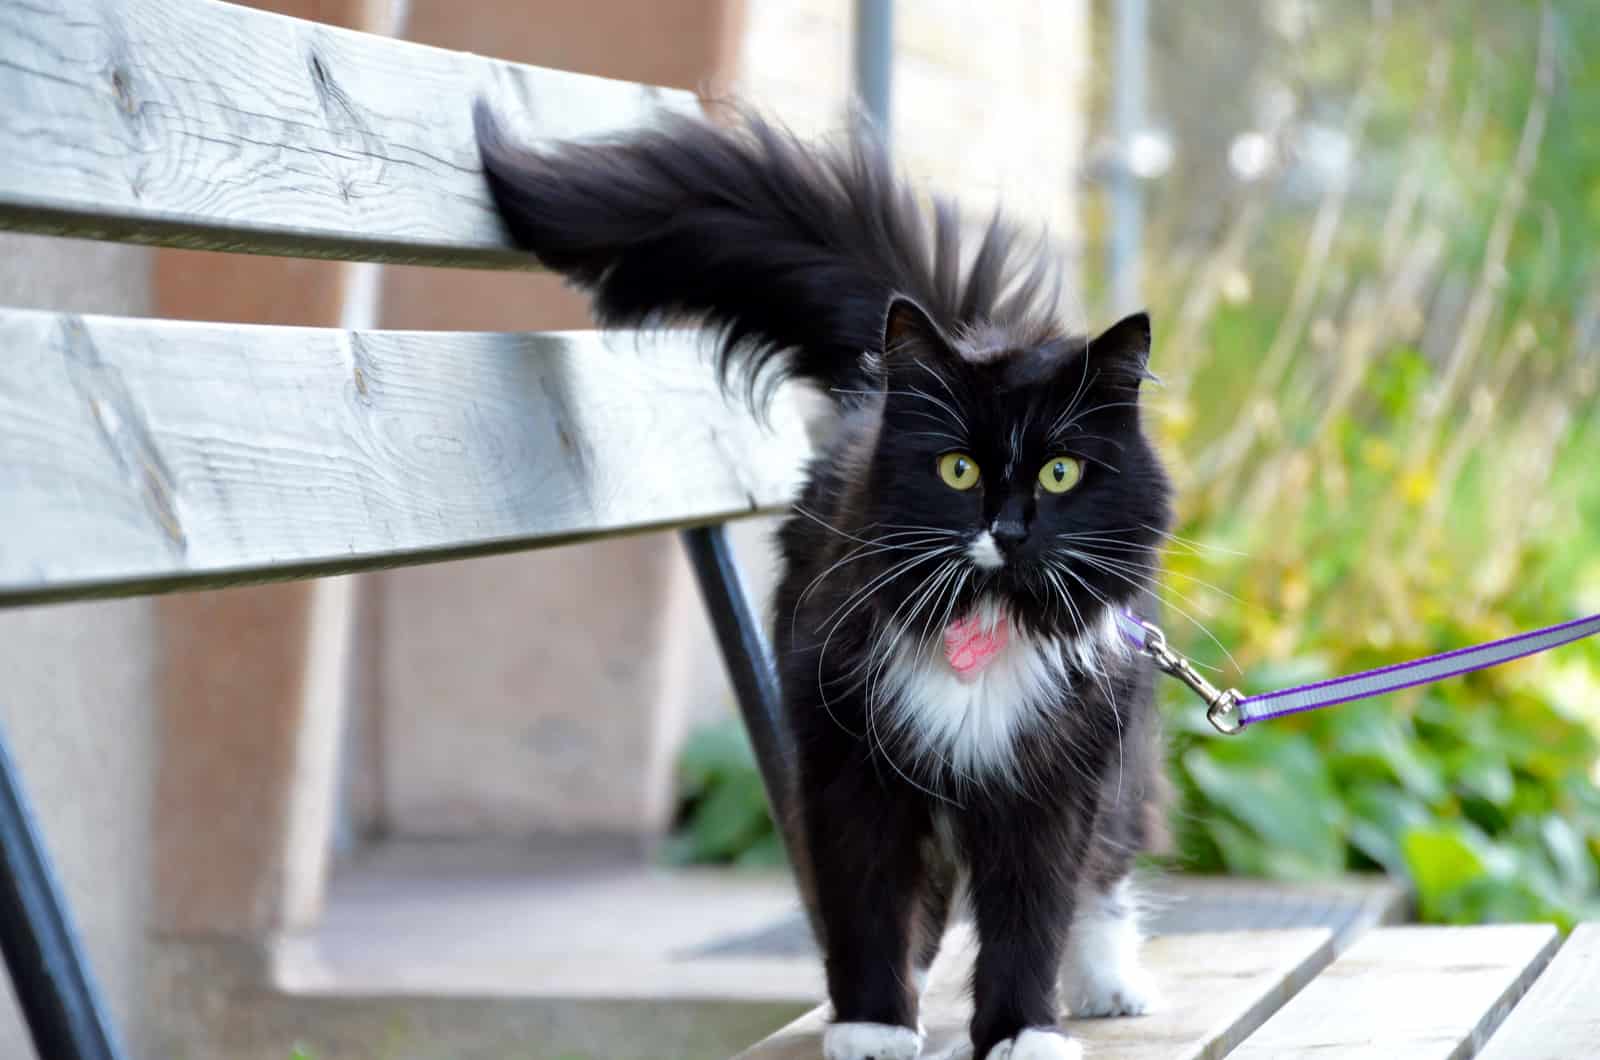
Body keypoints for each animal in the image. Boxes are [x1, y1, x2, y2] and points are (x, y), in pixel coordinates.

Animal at [473, 101, 1177, 1060]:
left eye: (1062, 474)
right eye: (958, 469)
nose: (1008, 530)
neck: (981, 627)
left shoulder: (1055, 774)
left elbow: (1033, 912)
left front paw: (1022, 1030)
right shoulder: (849, 758)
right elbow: (868, 901)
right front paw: (873, 1023)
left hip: (1116, 741)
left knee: (1106, 862)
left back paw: (1108, 982)